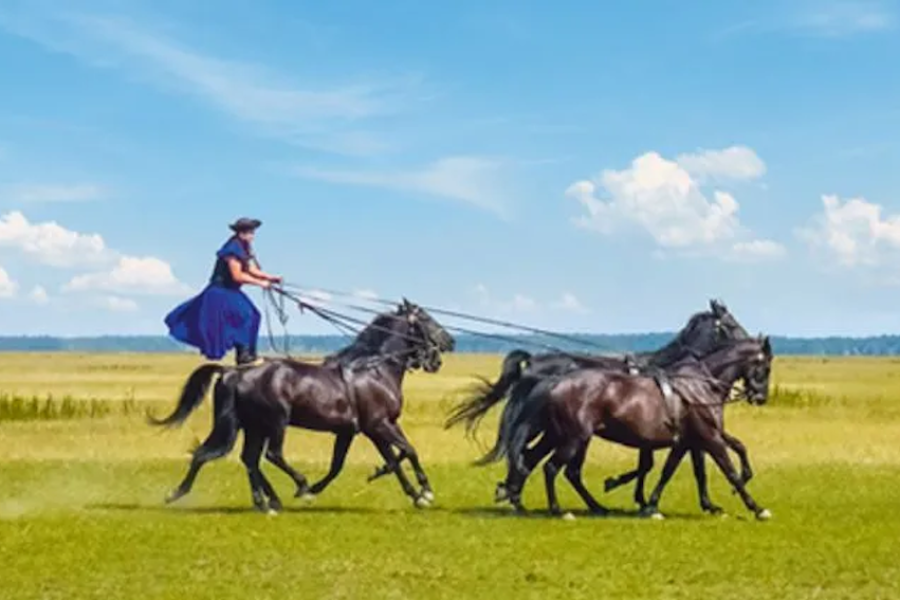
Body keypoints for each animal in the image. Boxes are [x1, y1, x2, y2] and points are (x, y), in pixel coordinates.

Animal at [152, 298, 458, 512]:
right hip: (275, 422)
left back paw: (262, 501)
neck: (374, 370)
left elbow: (366, 462)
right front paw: (424, 492)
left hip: (253, 426)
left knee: (240, 458)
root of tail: (233, 371)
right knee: (269, 455)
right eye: (427, 318)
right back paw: (293, 488)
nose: (450, 342)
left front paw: (411, 491)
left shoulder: (358, 430)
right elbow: (407, 452)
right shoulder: (378, 425)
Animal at [448, 298, 752, 506]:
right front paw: (626, 489)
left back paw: (515, 495)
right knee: (533, 457)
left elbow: (673, 464)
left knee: (528, 456)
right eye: (732, 324)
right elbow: (664, 464)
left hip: (554, 430)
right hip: (557, 430)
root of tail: (532, 364)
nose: (752, 340)